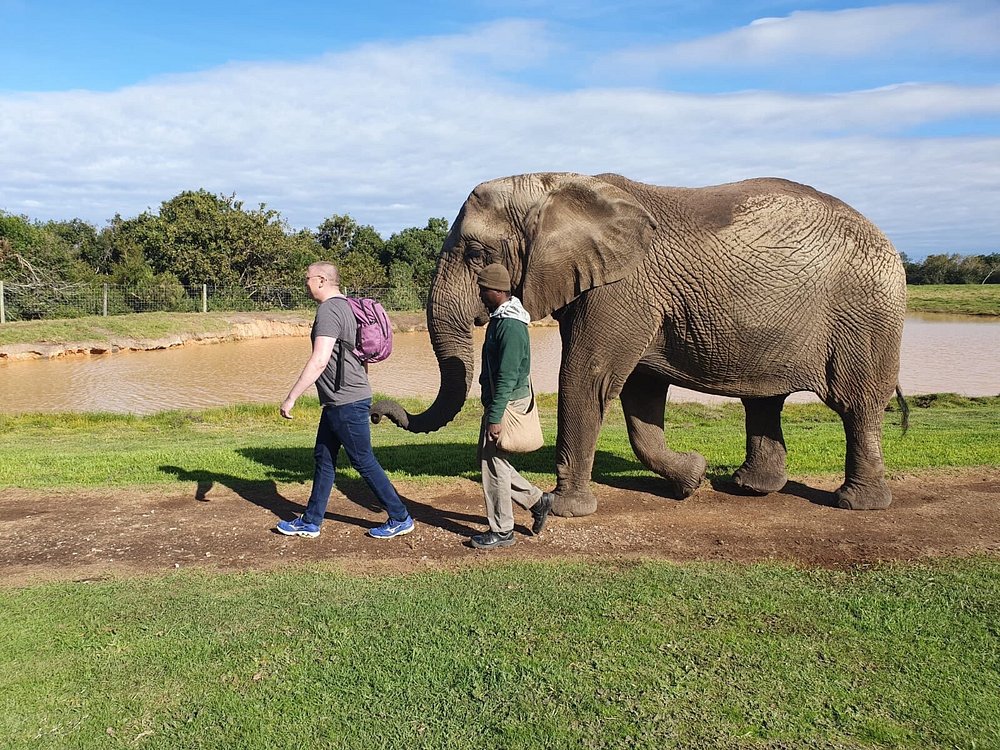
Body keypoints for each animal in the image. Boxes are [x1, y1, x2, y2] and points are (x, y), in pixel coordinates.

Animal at [372, 172, 908, 515]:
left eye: (476, 253)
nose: (377, 411)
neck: (550, 183)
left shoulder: (623, 288)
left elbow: (587, 378)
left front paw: (564, 510)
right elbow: (640, 395)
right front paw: (693, 478)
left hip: (867, 314)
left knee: (857, 405)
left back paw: (857, 504)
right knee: (764, 402)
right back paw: (749, 489)